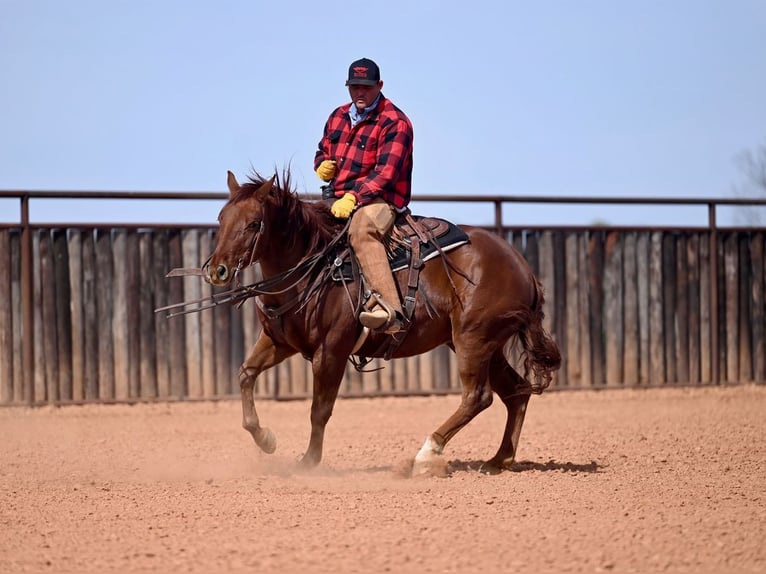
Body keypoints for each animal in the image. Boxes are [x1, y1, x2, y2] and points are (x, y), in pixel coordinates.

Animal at [204, 169, 561, 476]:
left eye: (254, 224)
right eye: (221, 218)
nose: (217, 269)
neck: (312, 269)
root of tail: (522, 266)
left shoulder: (331, 351)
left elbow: (320, 409)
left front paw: (308, 462)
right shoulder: (279, 342)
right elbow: (246, 374)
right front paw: (266, 439)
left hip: (473, 339)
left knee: (478, 396)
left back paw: (426, 455)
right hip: (485, 344)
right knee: (514, 392)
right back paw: (499, 459)